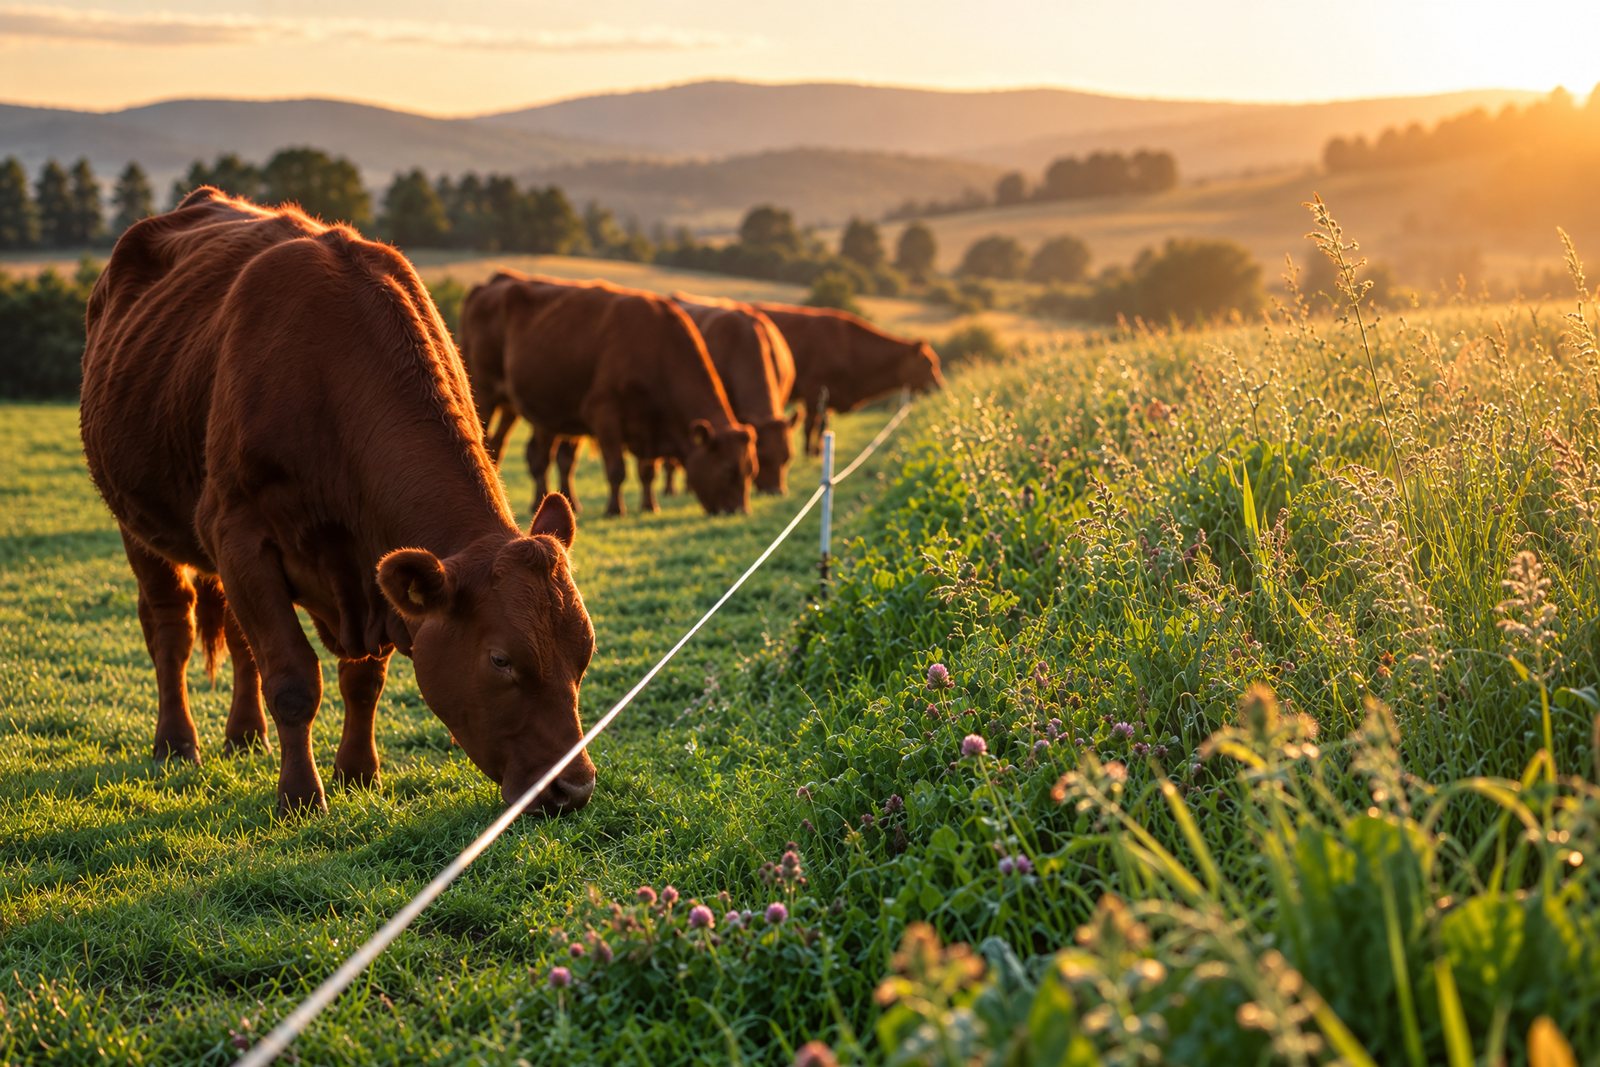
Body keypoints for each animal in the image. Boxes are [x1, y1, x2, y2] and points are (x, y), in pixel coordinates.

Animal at [79, 188, 598, 817]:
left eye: (584, 650)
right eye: (501, 659)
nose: (575, 788)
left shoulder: (367, 573)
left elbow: (361, 679)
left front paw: (358, 772)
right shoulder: (239, 534)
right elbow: (293, 679)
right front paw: (301, 796)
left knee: (240, 640)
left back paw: (244, 736)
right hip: (139, 525)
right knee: (171, 629)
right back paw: (177, 744)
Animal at [474, 274, 756, 517]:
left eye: (751, 471)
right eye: (727, 470)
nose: (739, 511)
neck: (656, 347)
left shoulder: (648, 425)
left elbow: (647, 471)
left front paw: (649, 505)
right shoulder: (604, 415)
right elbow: (616, 469)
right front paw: (615, 509)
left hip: (527, 410)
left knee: (532, 454)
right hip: (485, 395)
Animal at [752, 302, 944, 455]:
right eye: (929, 364)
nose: (939, 385)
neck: (849, 349)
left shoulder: (827, 397)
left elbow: (822, 426)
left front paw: (819, 451)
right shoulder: (813, 392)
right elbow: (811, 425)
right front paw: (810, 452)